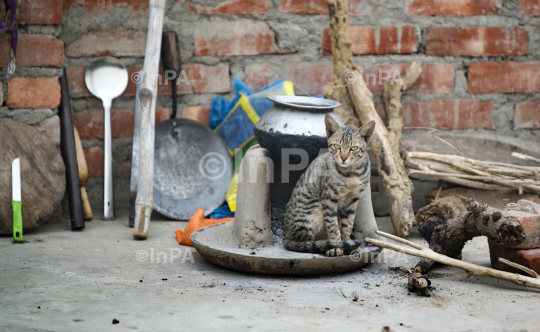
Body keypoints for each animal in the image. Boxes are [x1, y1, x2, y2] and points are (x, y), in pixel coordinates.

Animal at [282, 114, 376, 256]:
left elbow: (347, 225)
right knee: (306, 242)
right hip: (314, 210)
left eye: (353, 148)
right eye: (337, 146)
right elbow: (333, 226)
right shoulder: (328, 198)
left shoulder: (352, 201)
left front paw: (348, 244)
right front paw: (336, 246)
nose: (343, 158)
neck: (351, 174)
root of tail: (285, 234)